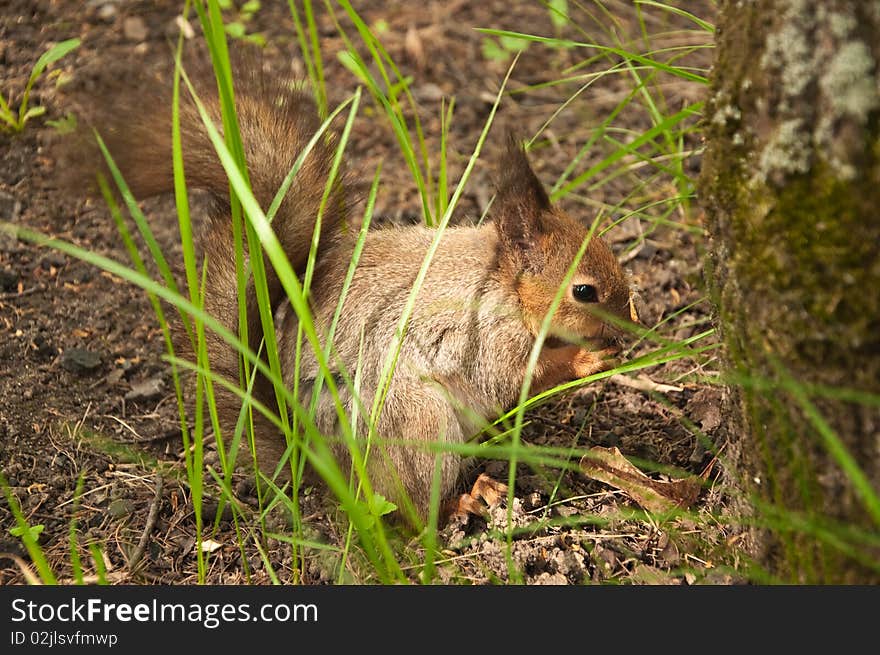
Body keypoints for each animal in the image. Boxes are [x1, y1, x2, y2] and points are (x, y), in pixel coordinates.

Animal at [89, 69, 636, 528]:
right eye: (584, 291)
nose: (631, 323)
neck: (503, 283)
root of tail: (320, 463)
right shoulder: (486, 336)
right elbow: (520, 375)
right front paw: (586, 359)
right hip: (417, 422)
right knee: (409, 510)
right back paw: (461, 501)